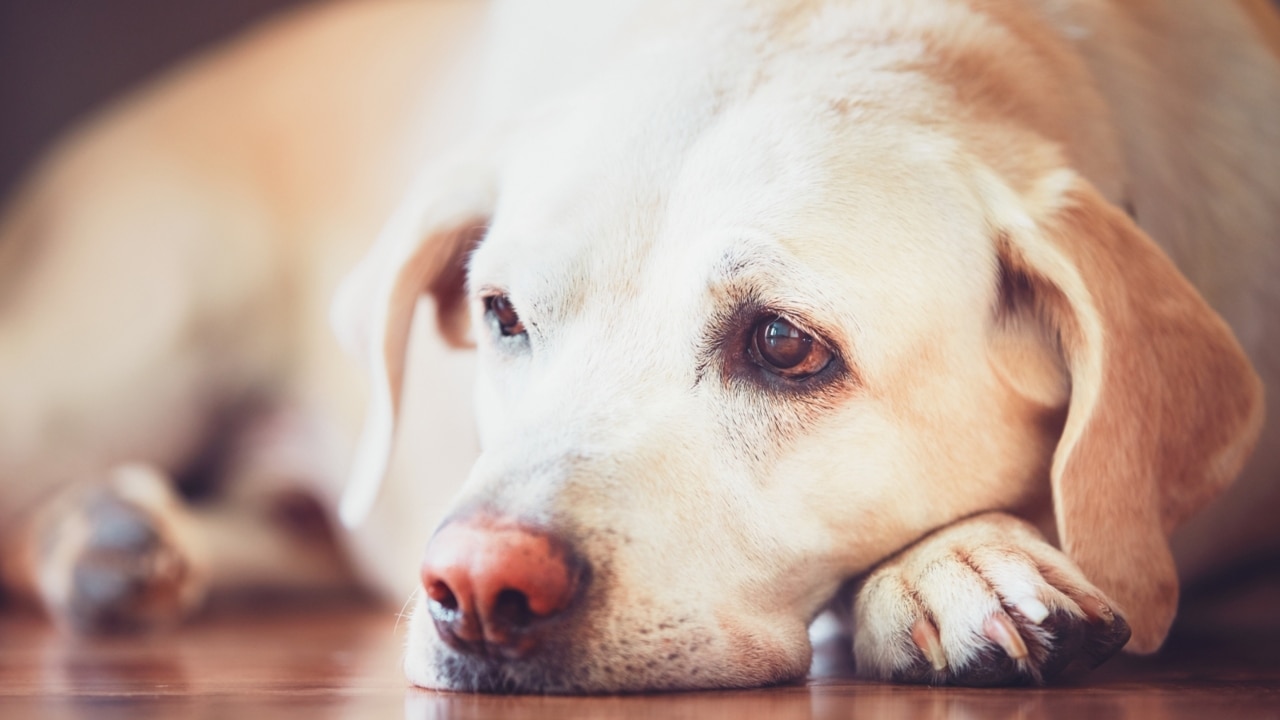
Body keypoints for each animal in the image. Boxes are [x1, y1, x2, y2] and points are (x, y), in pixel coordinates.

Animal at [2, 0, 1280, 691]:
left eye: (783, 344)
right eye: (501, 314)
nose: (475, 588)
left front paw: (955, 559)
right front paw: (953, 563)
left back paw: (119, 543)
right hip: (111, 365)